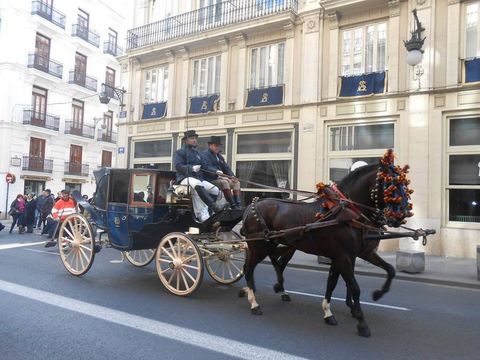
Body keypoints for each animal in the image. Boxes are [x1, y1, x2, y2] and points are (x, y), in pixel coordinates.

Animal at [240, 153, 412, 338]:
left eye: (404, 184)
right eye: (390, 184)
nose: (402, 215)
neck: (348, 213)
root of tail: (251, 206)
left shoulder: (355, 254)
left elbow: (386, 270)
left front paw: (373, 296)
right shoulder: (343, 257)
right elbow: (354, 287)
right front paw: (361, 322)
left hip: (277, 245)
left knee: (271, 264)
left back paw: (266, 289)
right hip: (259, 246)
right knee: (249, 269)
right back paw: (254, 302)